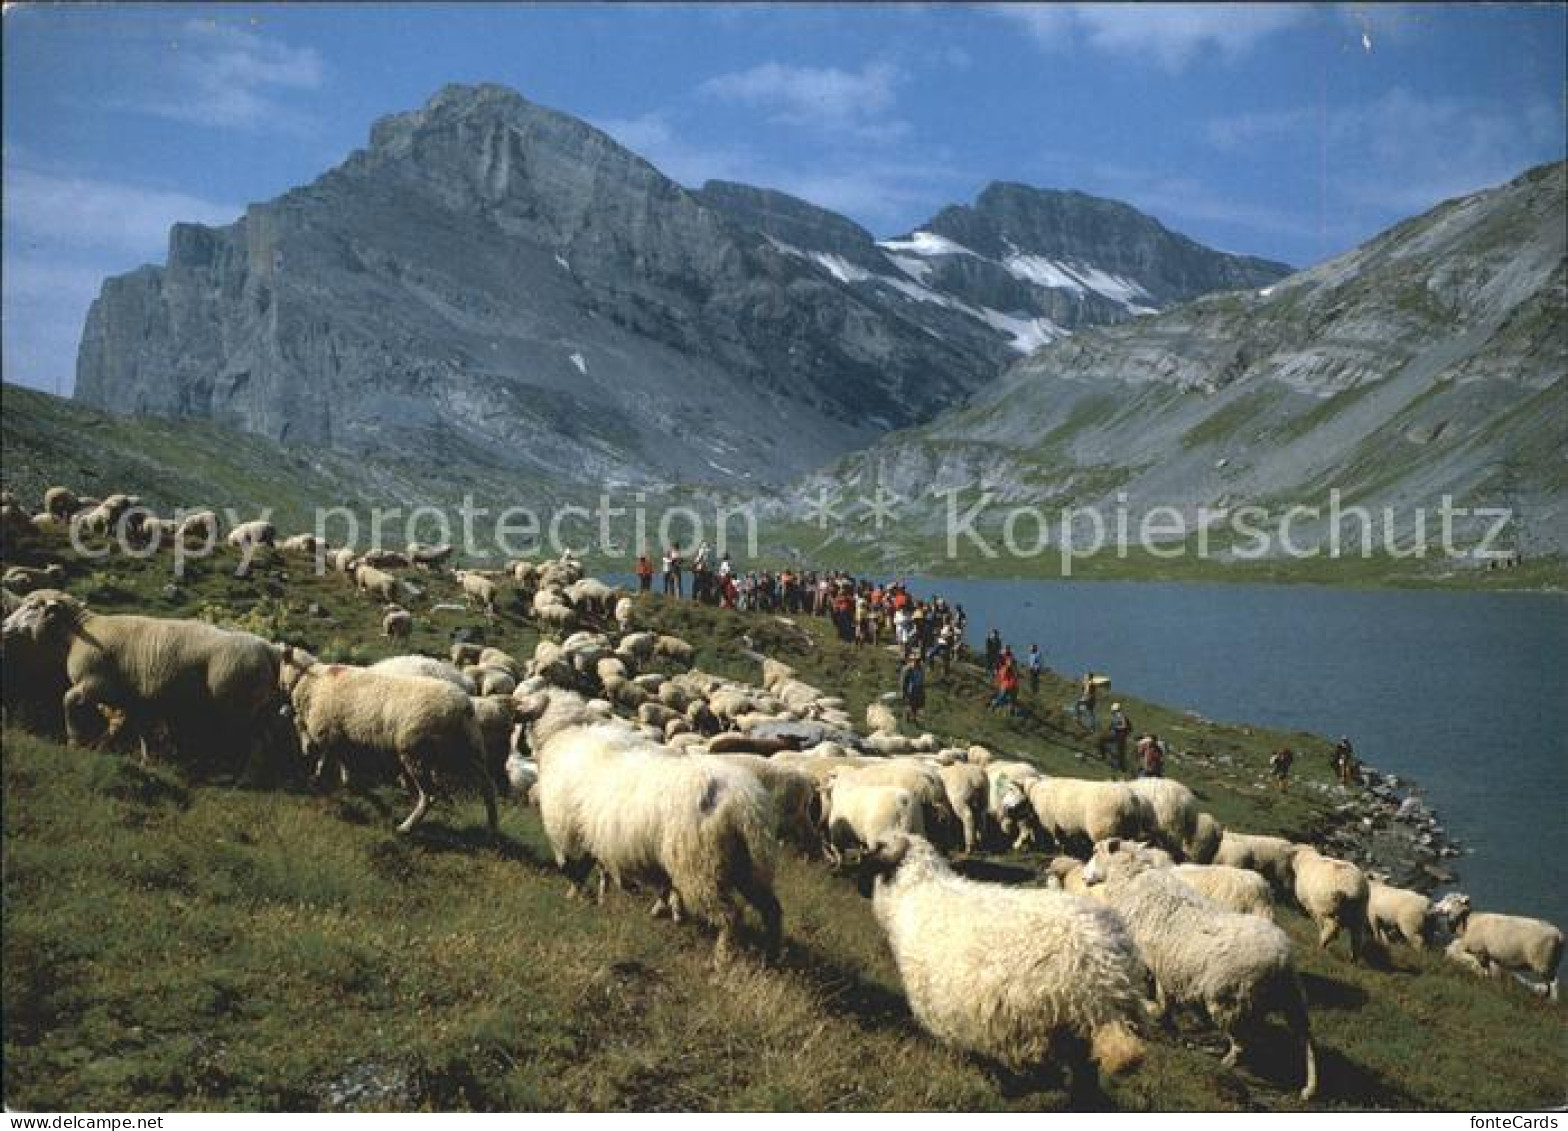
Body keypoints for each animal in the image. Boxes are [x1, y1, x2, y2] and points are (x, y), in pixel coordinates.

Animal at [514, 687, 784, 960]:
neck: (564, 735)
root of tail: (744, 802)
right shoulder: (593, 832)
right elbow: (593, 867)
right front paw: (598, 897)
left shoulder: (563, 829)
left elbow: (569, 867)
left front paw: (576, 896)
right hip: (746, 863)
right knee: (771, 908)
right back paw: (773, 952)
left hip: (701, 865)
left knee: (730, 915)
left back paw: (722, 956)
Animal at [852, 834, 1147, 1091]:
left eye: (869, 857)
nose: (857, 886)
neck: (913, 894)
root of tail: (1104, 967)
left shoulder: (945, 1013)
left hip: (1047, 1020)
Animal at [1085, 840, 1317, 1091]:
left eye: (1095, 851)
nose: (1084, 877)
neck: (1131, 880)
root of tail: (1283, 958)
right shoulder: (1166, 966)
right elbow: (1165, 1000)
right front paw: (1163, 1018)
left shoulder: (1150, 961)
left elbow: (1157, 996)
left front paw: (1149, 1013)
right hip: (1288, 998)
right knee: (1305, 1037)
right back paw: (1309, 1088)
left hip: (1231, 1001)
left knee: (1242, 1045)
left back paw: (1224, 1063)